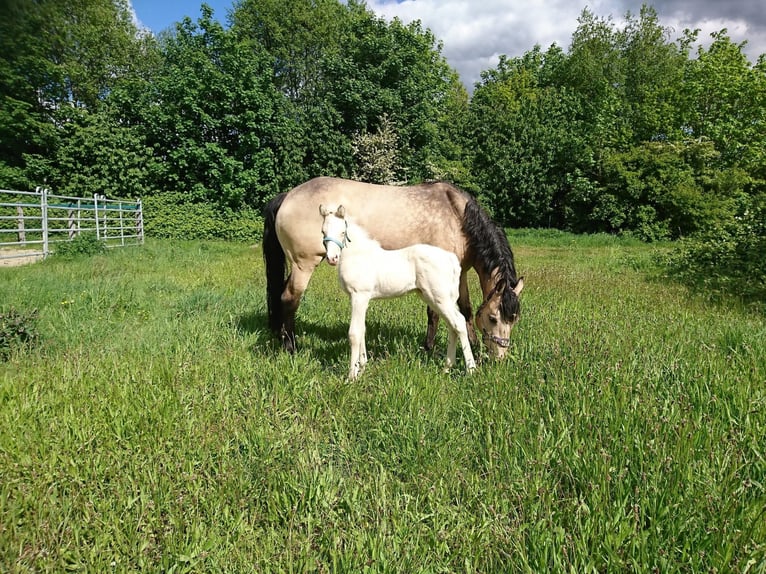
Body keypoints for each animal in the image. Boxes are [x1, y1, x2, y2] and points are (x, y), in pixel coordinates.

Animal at [320, 205, 476, 380]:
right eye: (323, 231)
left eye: (342, 232)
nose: (332, 258)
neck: (358, 255)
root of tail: (452, 259)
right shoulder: (361, 300)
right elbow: (362, 331)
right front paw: (362, 368)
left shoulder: (359, 296)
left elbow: (354, 333)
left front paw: (352, 376)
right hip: (436, 298)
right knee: (452, 326)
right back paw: (447, 368)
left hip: (440, 298)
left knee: (459, 323)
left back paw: (471, 369)